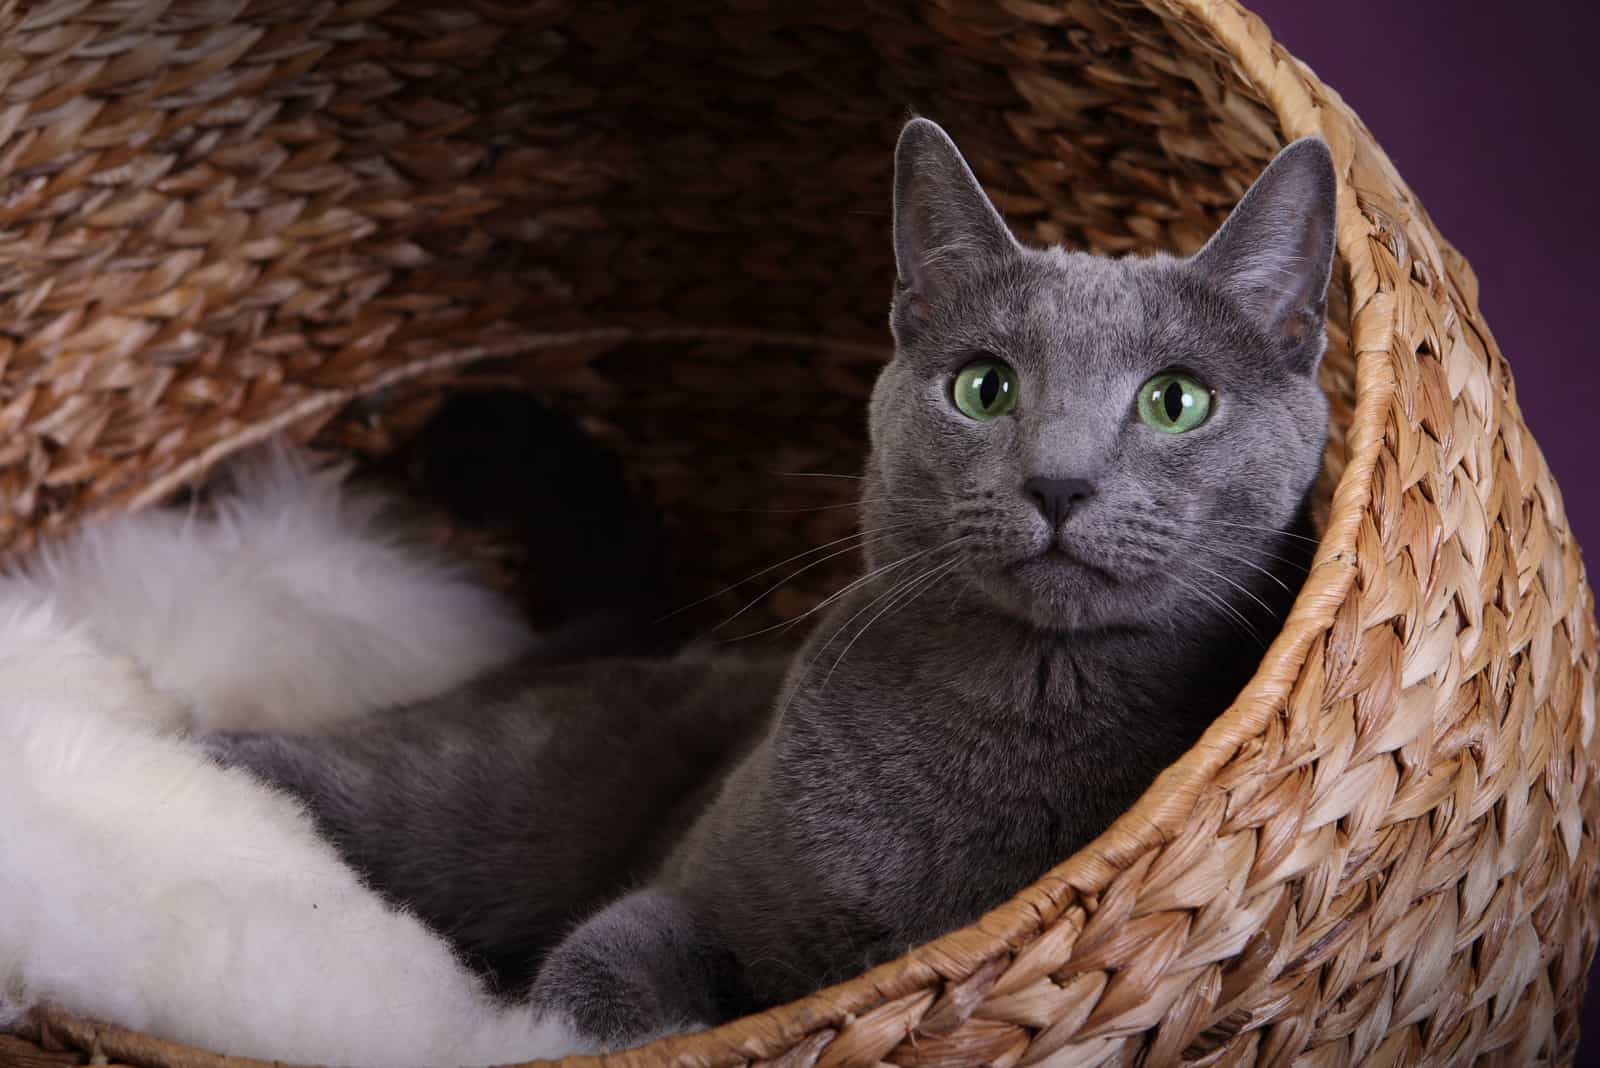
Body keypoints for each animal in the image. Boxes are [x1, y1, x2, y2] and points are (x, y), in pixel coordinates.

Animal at [212, 116, 1337, 1048]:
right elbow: (606, 975)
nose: (1058, 480)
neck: (1024, 712)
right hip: (480, 794)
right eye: (984, 386)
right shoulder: (678, 897)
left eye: (1175, 401)